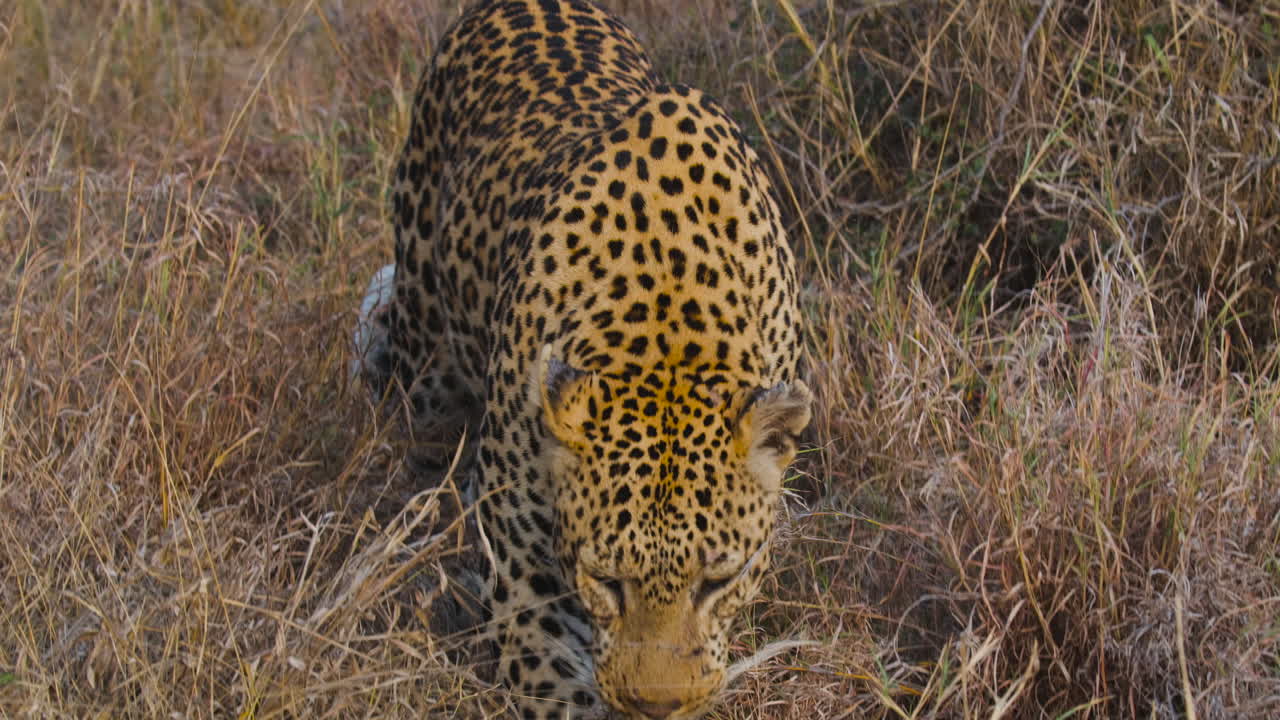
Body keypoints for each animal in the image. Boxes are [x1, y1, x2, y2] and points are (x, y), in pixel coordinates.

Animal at [352, 1, 812, 717]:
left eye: (720, 579)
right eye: (605, 579)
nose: (658, 706)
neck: (666, 325)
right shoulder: (526, 584)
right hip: (425, 354)